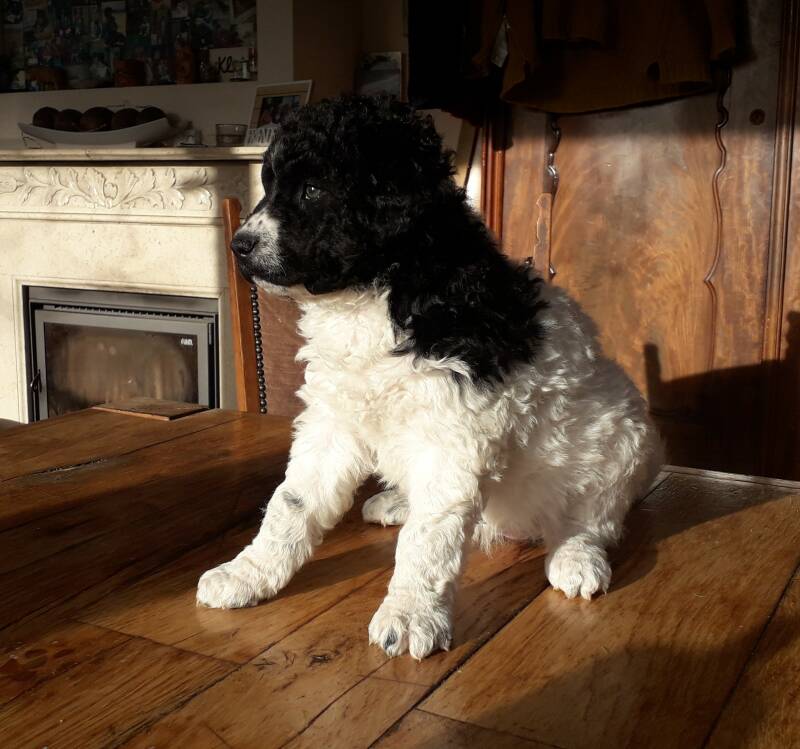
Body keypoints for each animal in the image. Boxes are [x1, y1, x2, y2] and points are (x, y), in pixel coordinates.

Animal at [197, 96, 663, 660]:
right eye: (267, 184)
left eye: (313, 189)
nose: (239, 246)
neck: (376, 292)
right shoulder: (332, 422)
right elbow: (292, 502)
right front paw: (247, 574)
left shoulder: (454, 435)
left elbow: (428, 536)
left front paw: (410, 616)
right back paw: (396, 502)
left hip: (623, 441)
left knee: (594, 517)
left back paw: (577, 557)